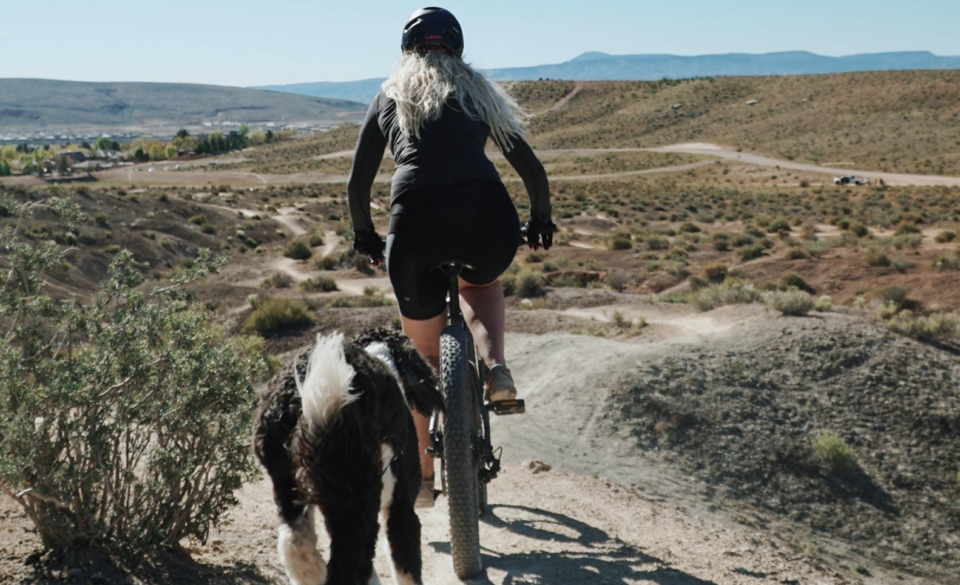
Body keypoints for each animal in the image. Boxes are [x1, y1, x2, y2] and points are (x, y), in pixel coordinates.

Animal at [251, 326, 438, 580]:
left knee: (295, 546)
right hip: (357, 497)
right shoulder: (401, 507)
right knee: (351, 564)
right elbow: (406, 566)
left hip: (289, 485)